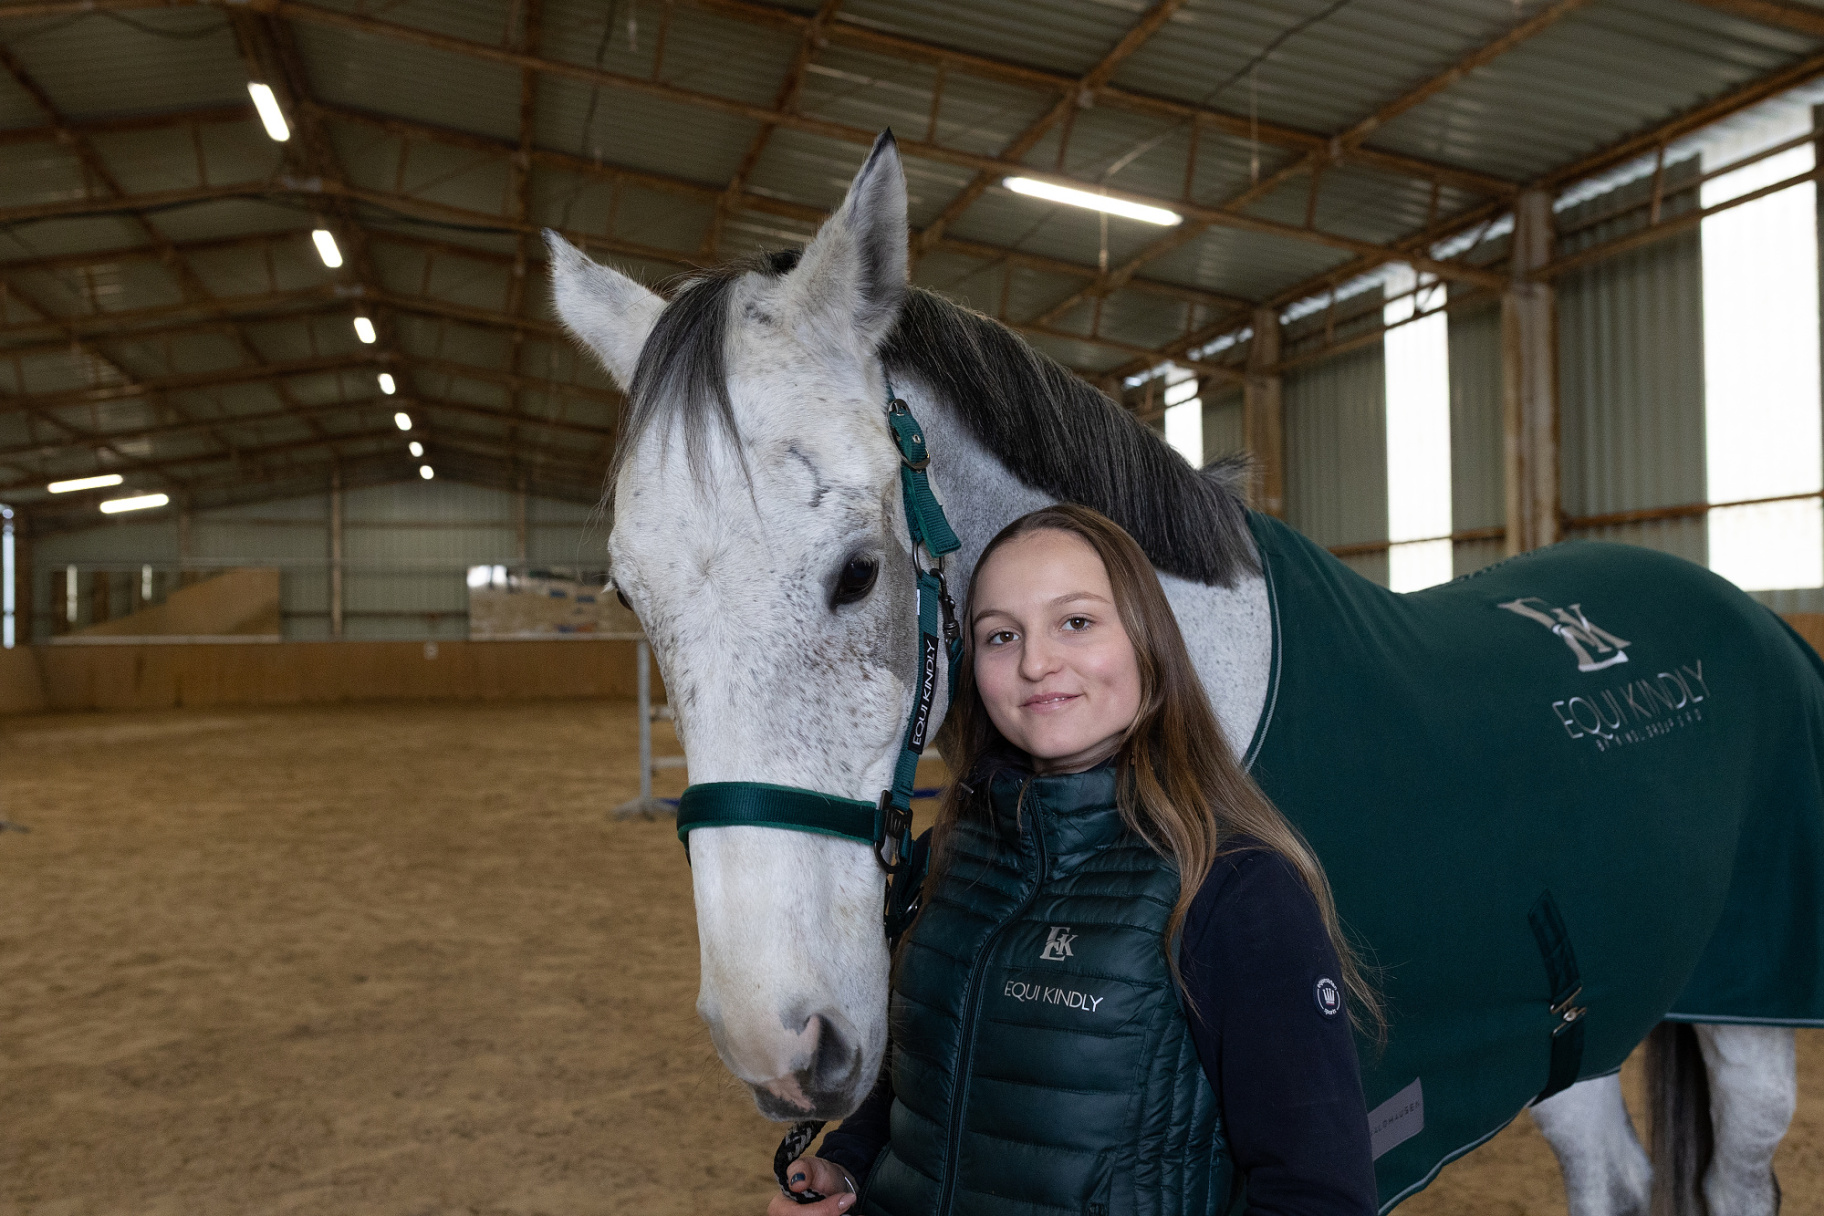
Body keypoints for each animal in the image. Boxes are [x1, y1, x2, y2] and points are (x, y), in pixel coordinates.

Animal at [547, 132, 1816, 1215]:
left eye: (860, 573)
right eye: (629, 596)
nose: (779, 1043)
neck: (1200, 717)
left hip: (1747, 1012)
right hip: (1584, 1029)